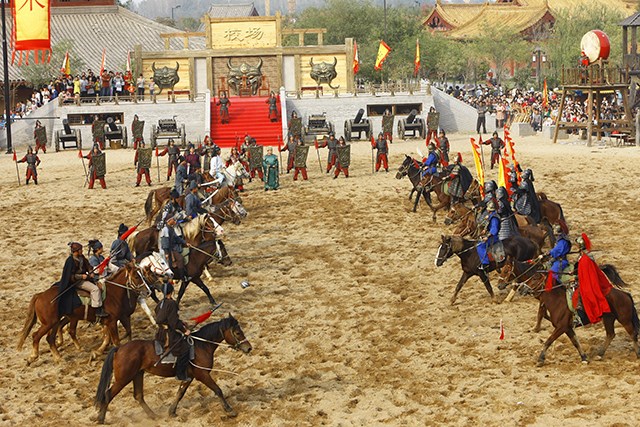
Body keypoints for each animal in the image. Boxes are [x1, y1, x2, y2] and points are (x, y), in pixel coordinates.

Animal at [17, 253, 172, 365]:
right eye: (136, 276)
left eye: (143, 275)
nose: (148, 292)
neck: (115, 293)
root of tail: (40, 295)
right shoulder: (112, 321)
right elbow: (115, 340)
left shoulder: (119, 318)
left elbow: (122, 334)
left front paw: (97, 353)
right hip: (49, 322)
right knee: (36, 335)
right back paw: (33, 356)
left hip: (55, 322)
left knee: (51, 338)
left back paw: (58, 356)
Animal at [94, 314, 252, 424]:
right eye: (238, 333)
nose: (249, 348)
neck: (201, 346)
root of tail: (119, 348)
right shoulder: (203, 375)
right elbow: (218, 390)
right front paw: (230, 410)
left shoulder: (189, 377)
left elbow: (180, 393)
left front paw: (172, 412)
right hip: (124, 378)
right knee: (108, 394)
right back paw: (101, 418)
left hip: (137, 375)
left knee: (138, 396)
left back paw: (153, 416)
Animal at [501, 260, 640, 366]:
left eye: (535, 278)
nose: (521, 288)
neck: (558, 300)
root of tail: (625, 294)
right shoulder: (567, 328)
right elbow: (575, 342)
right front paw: (584, 358)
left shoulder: (561, 327)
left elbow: (549, 340)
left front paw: (540, 359)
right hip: (608, 318)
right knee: (611, 334)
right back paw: (600, 354)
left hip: (624, 319)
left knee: (632, 334)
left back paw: (637, 354)